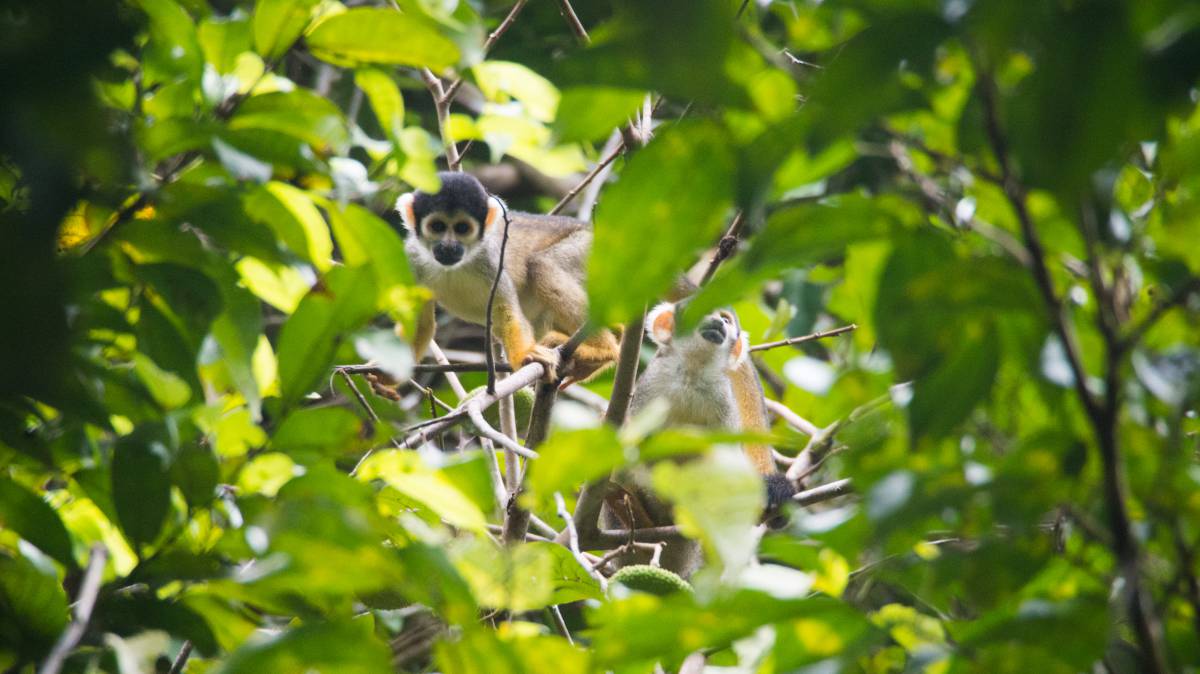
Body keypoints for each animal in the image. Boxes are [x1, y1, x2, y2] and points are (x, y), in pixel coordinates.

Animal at [396, 171, 619, 383]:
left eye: (462, 228)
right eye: (437, 227)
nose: (449, 247)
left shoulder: (491, 258)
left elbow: (507, 311)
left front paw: (524, 356)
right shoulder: (411, 260)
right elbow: (420, 324)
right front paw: (388, 377)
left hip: (589, 247)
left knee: (541, 266)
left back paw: (604, 350)